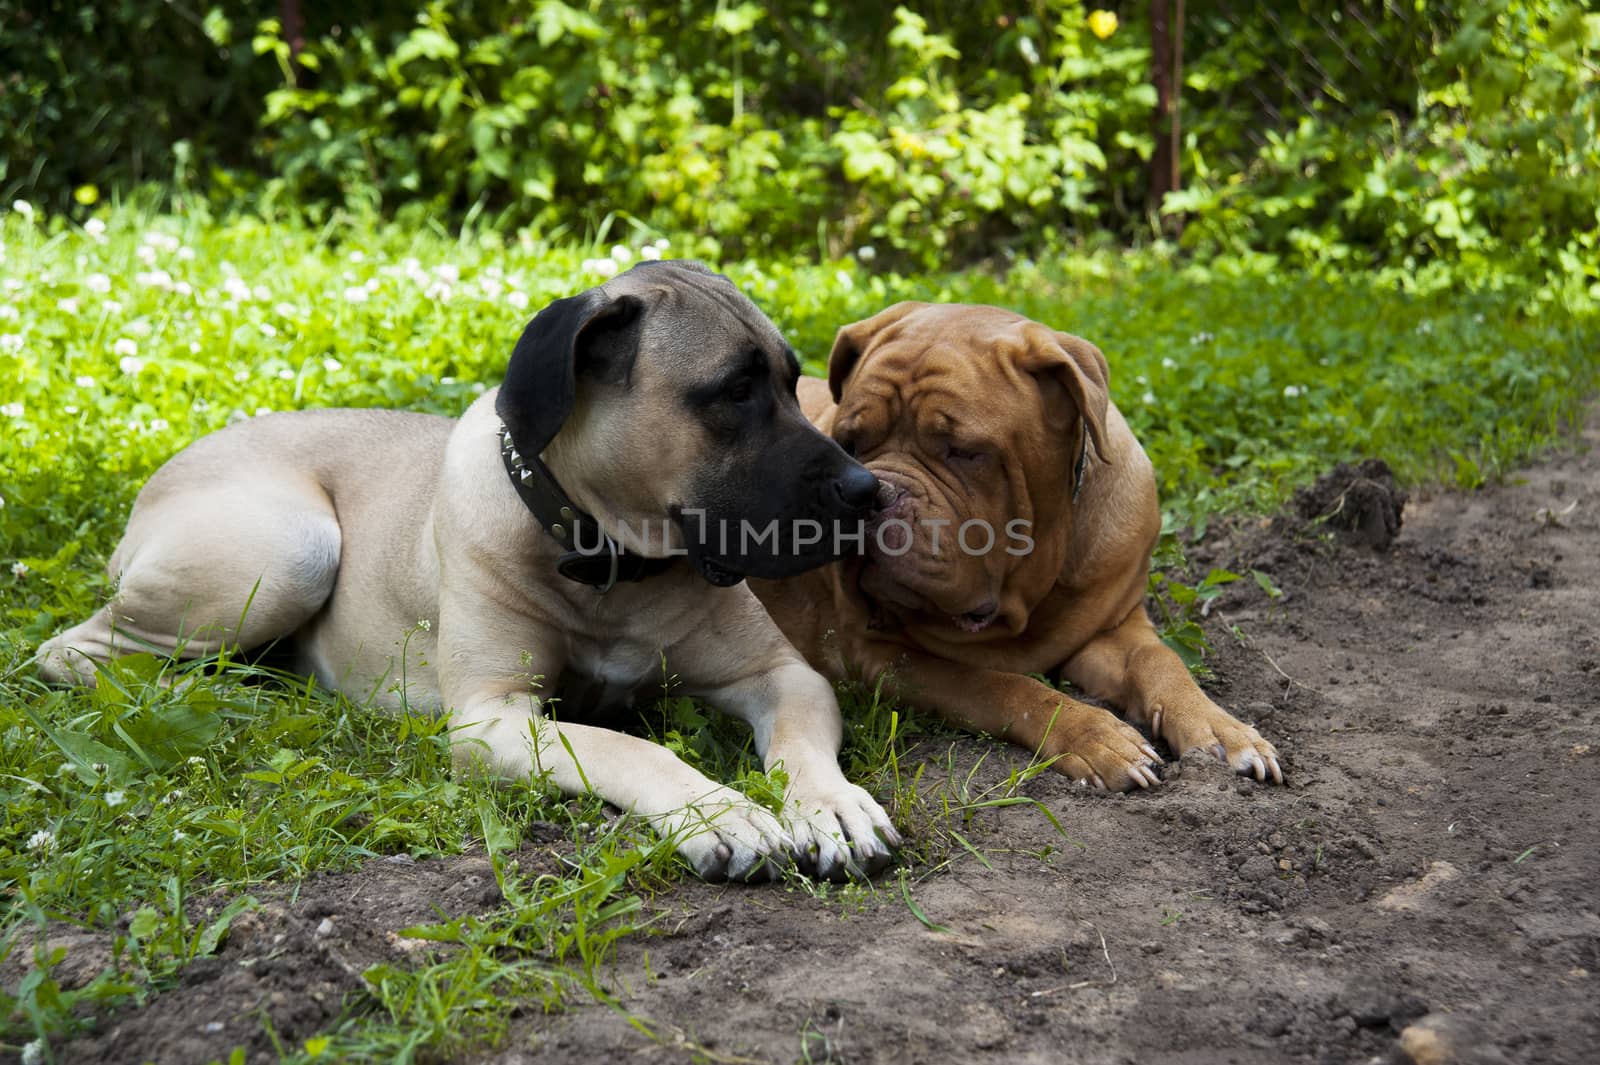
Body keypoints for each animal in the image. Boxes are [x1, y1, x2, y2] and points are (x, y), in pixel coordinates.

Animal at [40, 260, 902, 876]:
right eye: (734, 390)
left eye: (790, 382)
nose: (867, 491)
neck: (606, 560)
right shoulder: (494, 717)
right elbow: (626, 745)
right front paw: (720, 811)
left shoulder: (785, 675)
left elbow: (797, 741)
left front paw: (830, 805)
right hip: (291, 547)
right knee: (73, 651)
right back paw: (227, 698)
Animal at [748, 299, 1286, 786]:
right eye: (849, 443)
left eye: (964, 451)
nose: (878, 492)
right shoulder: (883, 656)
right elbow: (1001, 684)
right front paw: (1096, 735)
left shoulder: (1114, 627)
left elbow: (1162, 661)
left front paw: (1219, 728)